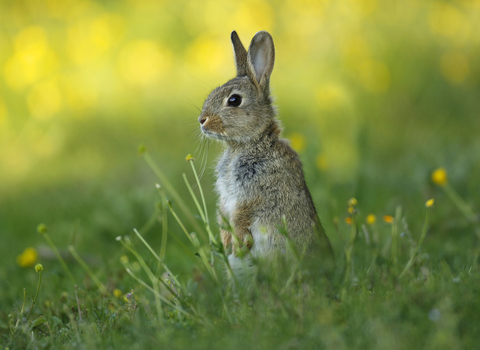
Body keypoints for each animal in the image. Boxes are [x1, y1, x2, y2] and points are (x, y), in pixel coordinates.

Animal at [199, 30, 334, 276]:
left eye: (234, 100)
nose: (201, 120)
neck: (250, 143)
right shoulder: (226, 196)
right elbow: (223, 213)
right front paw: (226, 241)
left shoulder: (254, 193)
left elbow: (242, 215)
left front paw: (237, 243)